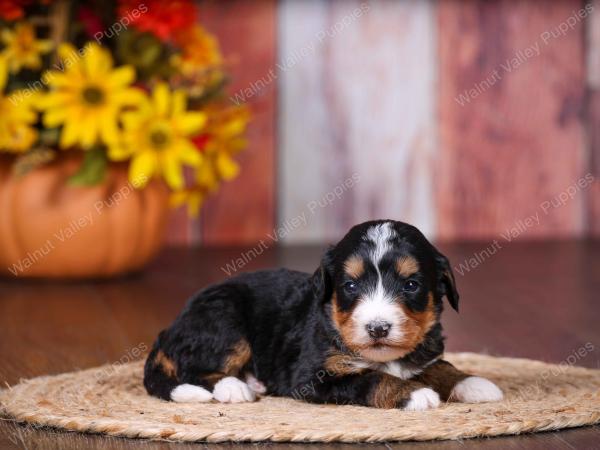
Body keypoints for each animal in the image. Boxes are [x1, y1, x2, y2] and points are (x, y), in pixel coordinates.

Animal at [144, 220, 502, 410]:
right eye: (350, 285)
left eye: (411, 285)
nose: (378, 328)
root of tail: (170, 328)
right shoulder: (312, 376)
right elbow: (371, 378)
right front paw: (414, 394)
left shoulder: (425, 353)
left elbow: (442, 367)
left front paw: (475, 383)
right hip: (224, 319)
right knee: (195, 370)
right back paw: (235, 388)